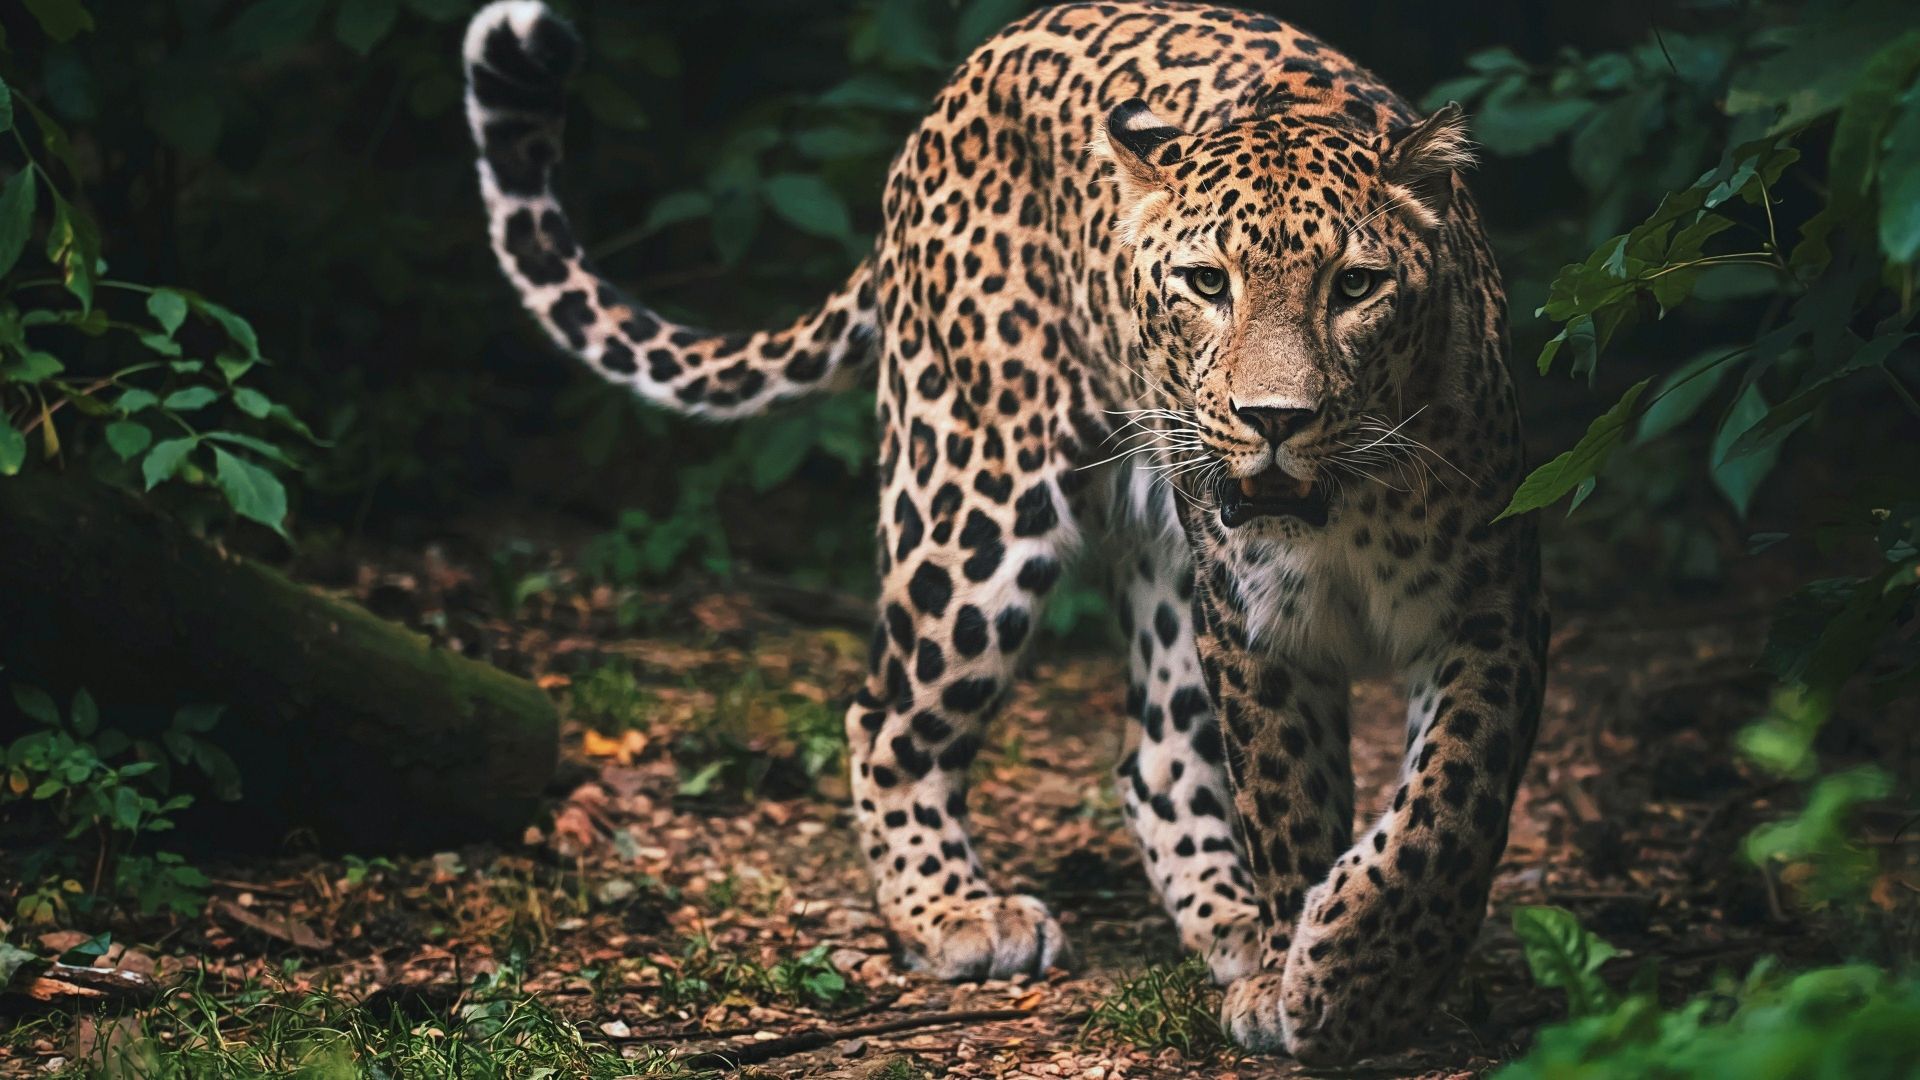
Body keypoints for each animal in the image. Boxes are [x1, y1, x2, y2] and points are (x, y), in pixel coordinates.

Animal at [463, 0, 1547, 1062]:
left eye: (1356, 286)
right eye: (1207, 283)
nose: (1274, 418)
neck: (1343, 511)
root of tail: (967, 74)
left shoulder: (1491, 608)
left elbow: (1448, 807)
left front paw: (1356, 975)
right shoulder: (1255, 627)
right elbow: (1291, 805)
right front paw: (1316, 982)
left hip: (1158, 558)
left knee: (1154, 756)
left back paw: (1230, 929)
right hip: (972, 499)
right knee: (885, 716)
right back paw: (958, 914)